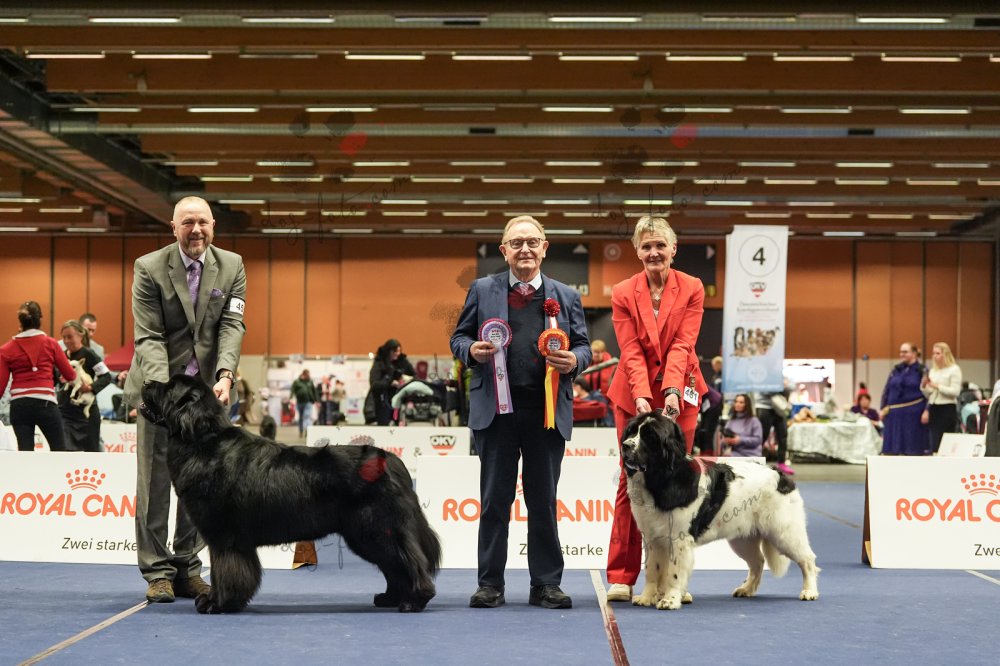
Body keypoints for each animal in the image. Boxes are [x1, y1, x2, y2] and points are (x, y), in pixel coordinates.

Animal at [139, 374, 441, 614]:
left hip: (375, 529)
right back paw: (391, 598)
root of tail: (392, 461)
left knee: (408, 561)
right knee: (395, 566)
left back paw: (414, 600)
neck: (203, 442)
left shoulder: (224, 536)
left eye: (169, 387)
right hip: (366, 534)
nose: (145, 382)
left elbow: (225, 571)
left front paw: (217, 603)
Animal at [621, 412, 819, 610]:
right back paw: (746, 589)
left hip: (784, 532)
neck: (664, 477)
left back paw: (809, 591)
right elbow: (652, 570)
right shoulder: (652, 538)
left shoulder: (679, 539)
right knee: (758, 562)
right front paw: (647, 597)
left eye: (649, 436)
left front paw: (670, 600)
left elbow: (674, 573)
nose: (625, 445)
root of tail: (780, 475)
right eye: (632, 431)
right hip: (743, 539)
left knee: (807, 559)